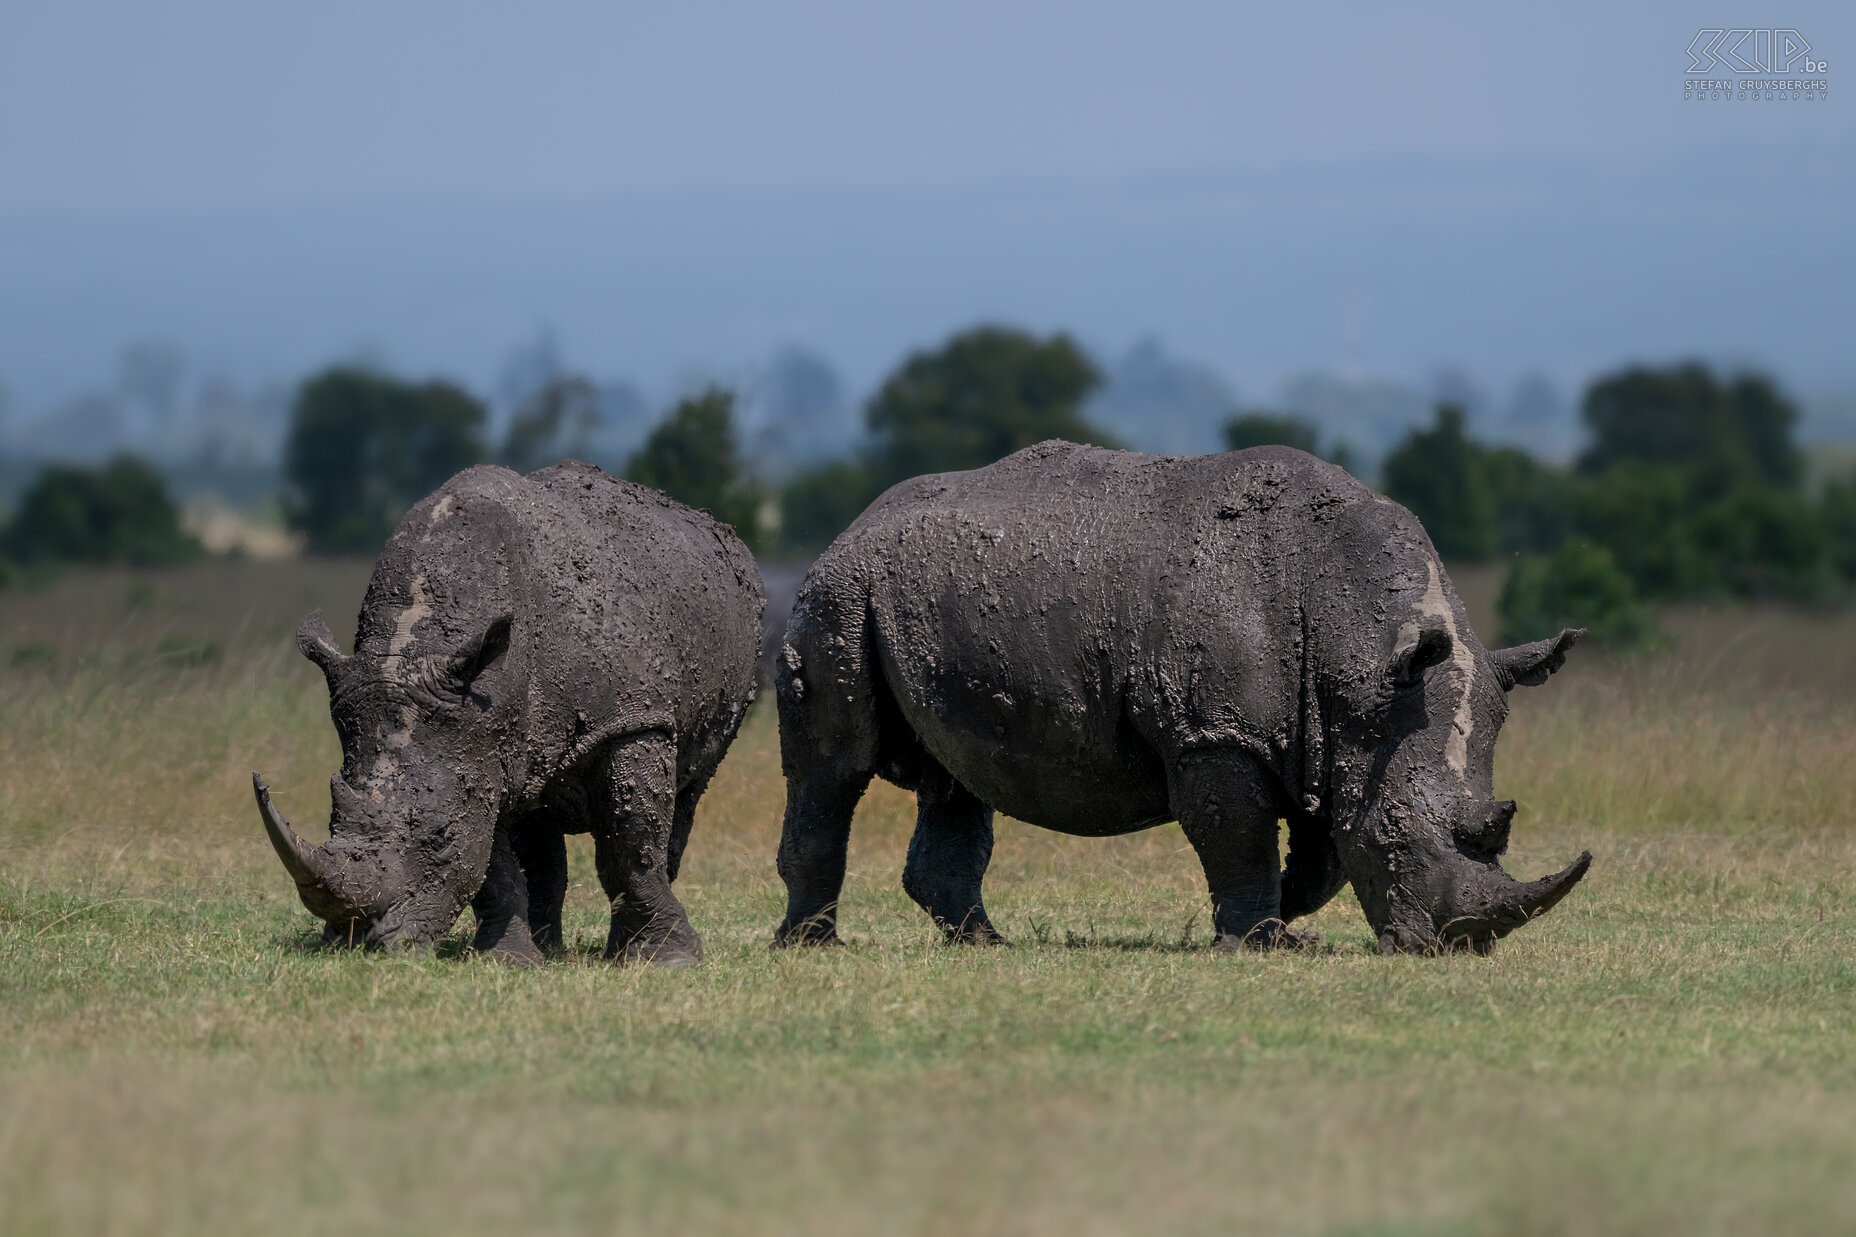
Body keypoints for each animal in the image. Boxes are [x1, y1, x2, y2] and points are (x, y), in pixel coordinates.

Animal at [254, 460, 760, 965]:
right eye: (332, 820)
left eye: (439, 838)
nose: (355, 943)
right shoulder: (474, 743)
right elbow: (491, 860)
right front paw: (507, 962)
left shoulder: (631, 720)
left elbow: (632, 843)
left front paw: (671, 961)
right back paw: (547, 950)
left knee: (686, 794)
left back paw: (624, 949)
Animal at [775, 443, 1588, 950]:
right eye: (1402, 841)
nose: (1454, 950)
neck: (1365, 649)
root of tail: (851, 525)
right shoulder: (1214, 733)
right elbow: (1238, 835)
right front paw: (1260, 943)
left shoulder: (1326, 730)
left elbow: (1322, 849)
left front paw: (1291, 919)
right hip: (838, 595)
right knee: (833, 770)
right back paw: (814, 946)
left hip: (924, 600)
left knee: (957, 777)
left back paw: (984, 942)